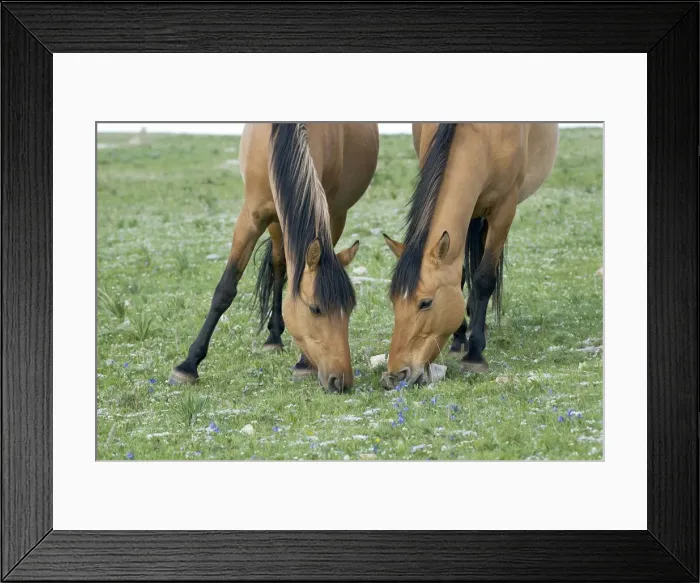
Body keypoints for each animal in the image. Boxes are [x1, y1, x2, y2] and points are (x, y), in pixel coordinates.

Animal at [169, 122, 379, 392]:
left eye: (350, 308)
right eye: (315, 309)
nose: (341, 381)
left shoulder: (328, 213)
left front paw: (304, 364)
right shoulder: (252, 217)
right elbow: (225, 290)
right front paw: (187, 366)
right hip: (276, 222)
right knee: (279, 266)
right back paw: (273, 337)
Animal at [380, 123, 559, 389]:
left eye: (425, 303)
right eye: (394, 301)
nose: (395, 376)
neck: (485, 136)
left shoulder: (504, 210)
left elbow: (484, 279)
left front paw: (475, 354)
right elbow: (462, 275)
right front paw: (459, 337)